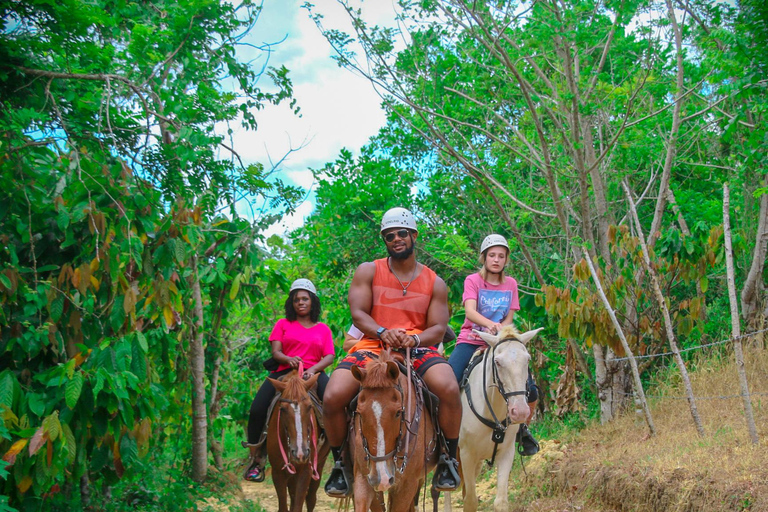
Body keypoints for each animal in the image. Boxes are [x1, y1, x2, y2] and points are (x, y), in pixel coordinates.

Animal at [268, 366, 330, 512]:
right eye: (282, 409)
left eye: (310, 407)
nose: (300, 453)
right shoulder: (277, 471)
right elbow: (284, 507)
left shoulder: (306, 471)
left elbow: (298, 505)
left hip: (319, 464)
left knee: (311, 498)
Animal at [440, 326, 544, 512]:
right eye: (497, 362)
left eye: (527, 359)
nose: (519, 412)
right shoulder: (467, 455)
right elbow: (470, 501)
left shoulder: (507, 453)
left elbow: (500, 501)